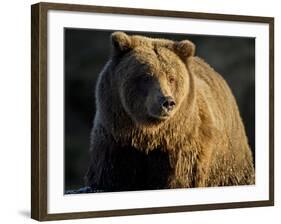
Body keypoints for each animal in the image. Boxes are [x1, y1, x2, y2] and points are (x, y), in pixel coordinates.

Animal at [85, 32, 254, 192]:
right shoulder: (116, 140)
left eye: (171, 78)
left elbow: (180, 178)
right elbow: (111, 175)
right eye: (146, 76)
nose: (168, 102)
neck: (150, 135)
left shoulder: (182, 147)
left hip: (228, 160)